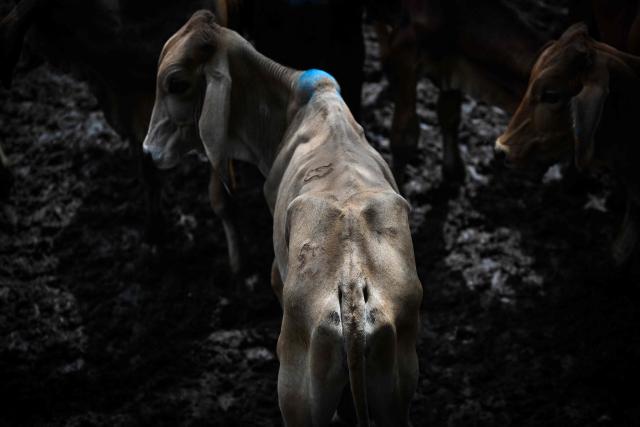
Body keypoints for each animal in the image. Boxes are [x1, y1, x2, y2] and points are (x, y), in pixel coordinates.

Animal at [143, 10, 423, 426]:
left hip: (296, 396)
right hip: (396, 395)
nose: (149, 150)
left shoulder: (276, 272)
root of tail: (352, 287)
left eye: (175, 83)